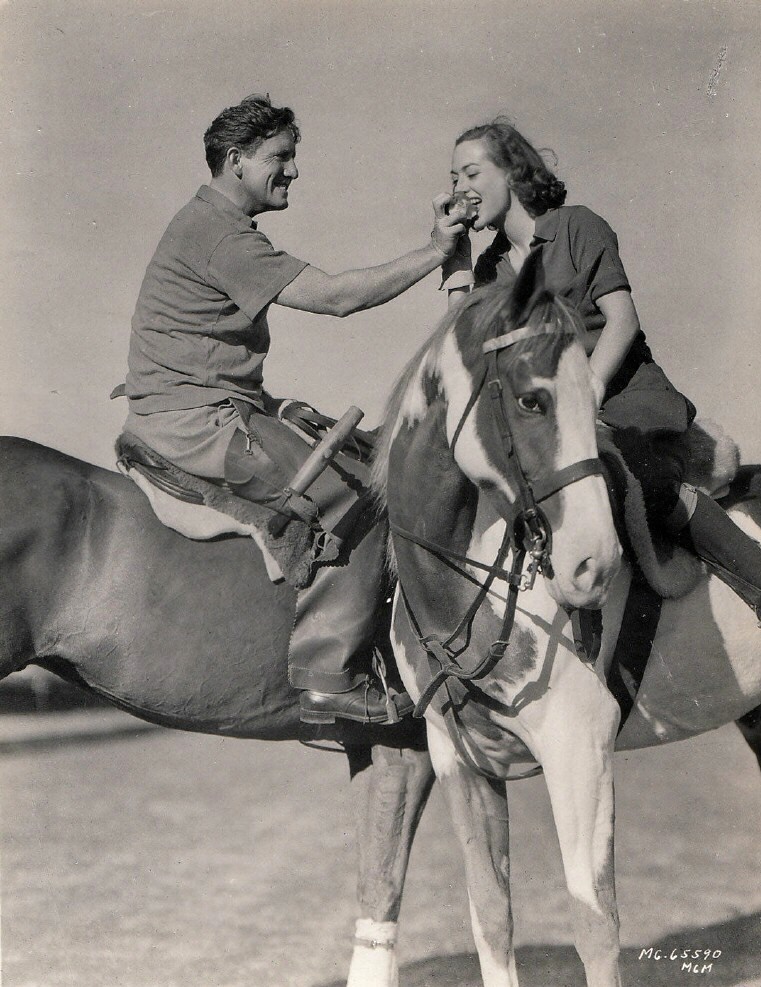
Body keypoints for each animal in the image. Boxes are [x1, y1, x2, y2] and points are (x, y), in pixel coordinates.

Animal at [372, 280, 760, 987]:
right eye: (532, 399)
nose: (592, 565)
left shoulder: (580, 748)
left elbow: (595, 923)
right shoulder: (460, 761)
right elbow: (491, 915)